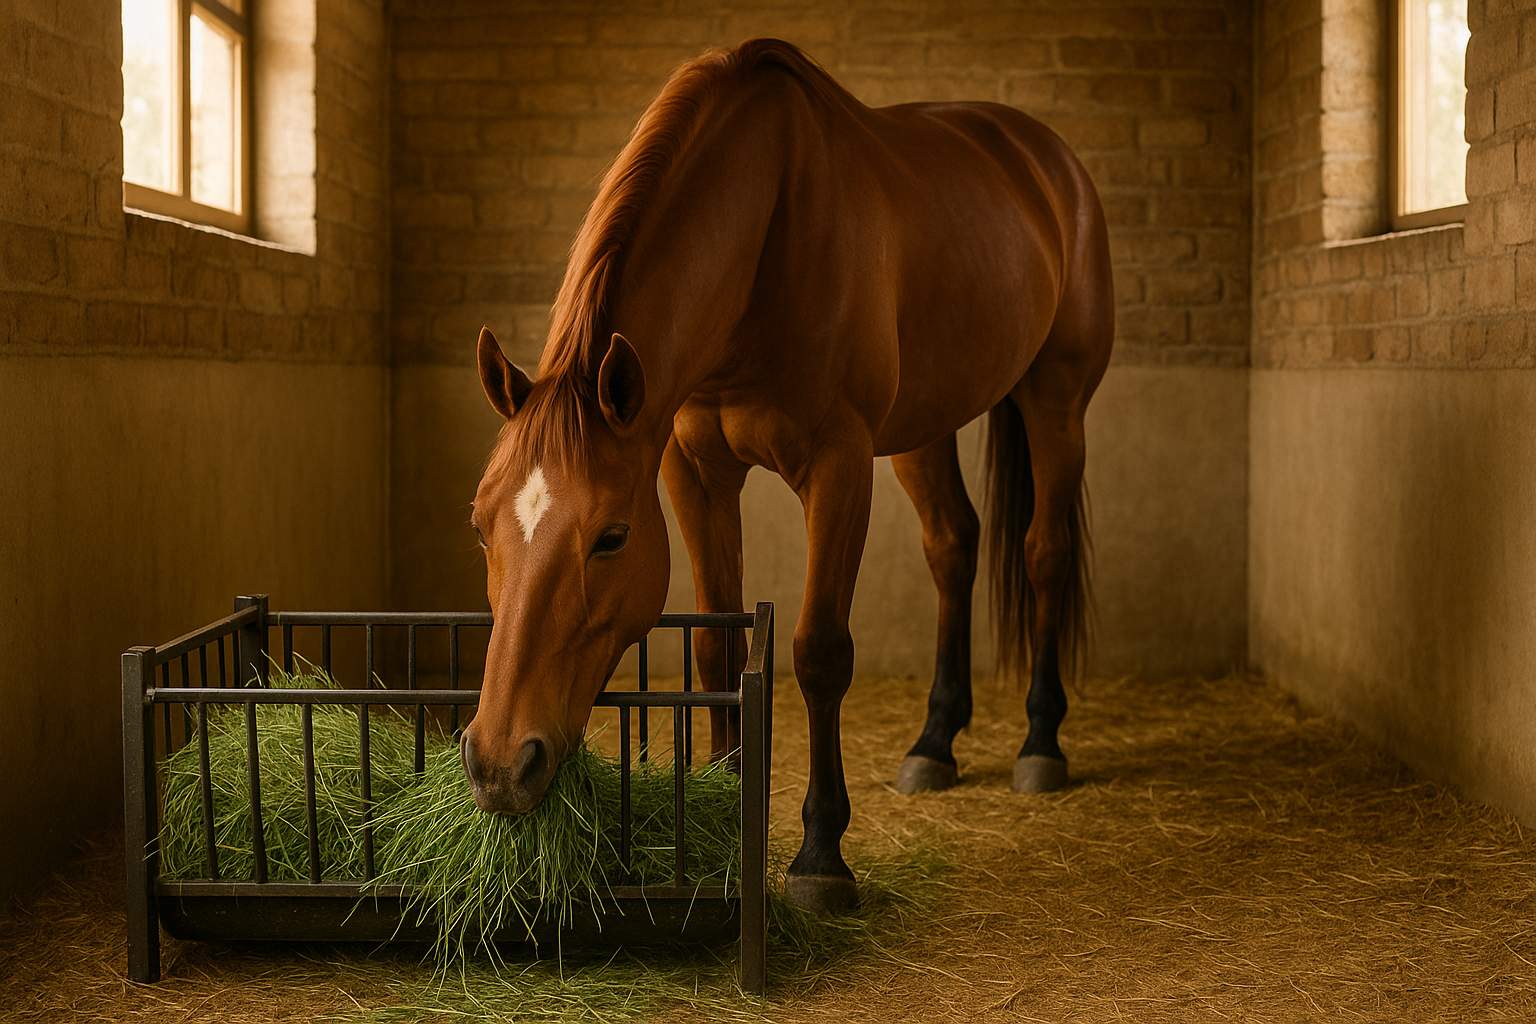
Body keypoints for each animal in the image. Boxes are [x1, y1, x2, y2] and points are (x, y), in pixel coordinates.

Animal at [461, 38, 1112, 913]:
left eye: (611, 537)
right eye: (480, 525)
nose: (501, 763)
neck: (768, 234)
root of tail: (1046, 157)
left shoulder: (838, 467)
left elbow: (818, 653)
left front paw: (819, 854)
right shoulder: (695, 471)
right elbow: (715, 646)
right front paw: (725, 807)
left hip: (1055, 400)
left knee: (1044, 554)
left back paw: (1041, 741)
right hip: (924, 427)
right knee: (952, 546)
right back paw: (935, 741)